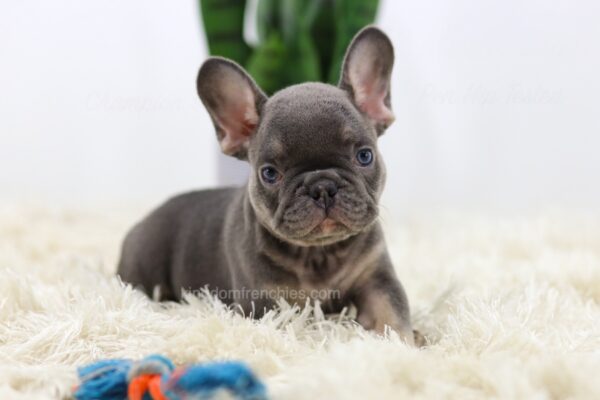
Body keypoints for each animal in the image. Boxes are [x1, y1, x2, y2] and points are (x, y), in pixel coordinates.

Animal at [117, 26, 418, 346]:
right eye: (270, 173)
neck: (319, 254)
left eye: (364, 156)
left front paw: (402, 342)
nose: (322, 186)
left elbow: (390, 309)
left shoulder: (377, 277)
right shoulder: (265, 303)